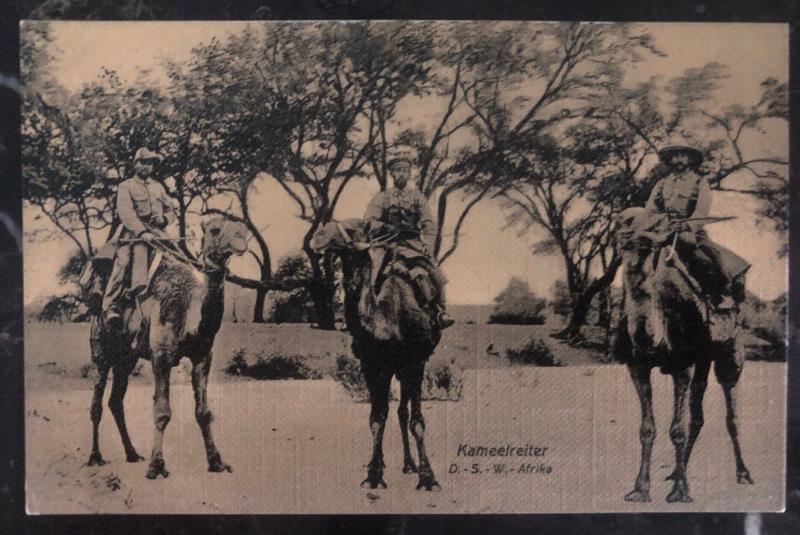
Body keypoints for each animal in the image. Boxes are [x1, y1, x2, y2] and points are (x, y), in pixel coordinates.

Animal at [84, 218, 247, 482]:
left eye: (240, 226)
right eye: (214, 229)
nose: (241, 237)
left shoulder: (203, 356)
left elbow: (203, 412)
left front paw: (216, 461)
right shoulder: (161, 355)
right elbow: (162, 411)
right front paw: (157, 466)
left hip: (126, 358)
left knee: (115, 400)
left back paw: (132, 453)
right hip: (101, 350)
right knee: (97, 402)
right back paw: (95, 457)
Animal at [310, 220, 444, 492]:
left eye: (351, 229)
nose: (317, 236)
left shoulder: (415, 362)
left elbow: (417, 421)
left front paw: (428, 478)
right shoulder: (371, 363)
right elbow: (376, 417)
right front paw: (373, 474)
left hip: (405, 368)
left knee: (404, 411)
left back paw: (411, 465)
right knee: (394, 411)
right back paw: (401, 463)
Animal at [612, 207, 752, 504]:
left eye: (655, 224)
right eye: (625, 222)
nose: (630, 237)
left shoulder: (681, 365)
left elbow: (676, 429)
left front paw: (679, 492)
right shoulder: (638, 366)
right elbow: (647, 428)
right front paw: (640, 489)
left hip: (731, 350)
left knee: (731, 411)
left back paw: (743, 473)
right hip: (704, 358)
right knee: (697, 412)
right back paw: (678, 471)